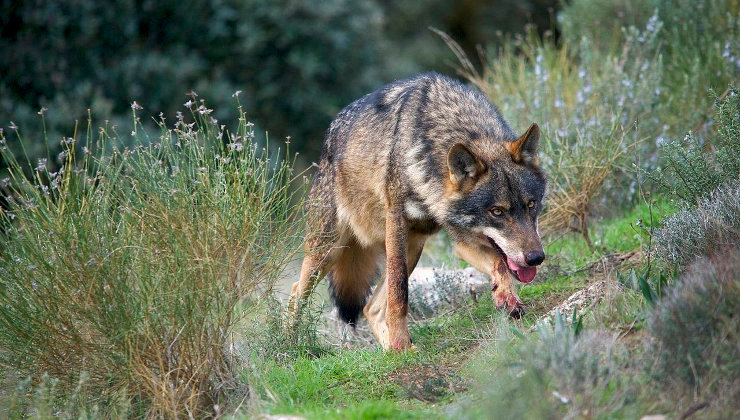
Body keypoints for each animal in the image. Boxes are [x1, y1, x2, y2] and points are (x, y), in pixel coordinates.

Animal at [286, 73, 548, 352]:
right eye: (497, 211)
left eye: (531, 204)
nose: (535, 258)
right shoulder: (397, 221)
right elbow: (399, 294)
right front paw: (401, 342)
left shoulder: (462, 241)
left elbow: (500, 264)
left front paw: (507, 297)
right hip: (329, 251)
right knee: (296, 293)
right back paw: (289, 345)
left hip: (413, 247)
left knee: (371, 308)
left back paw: (393, 352)